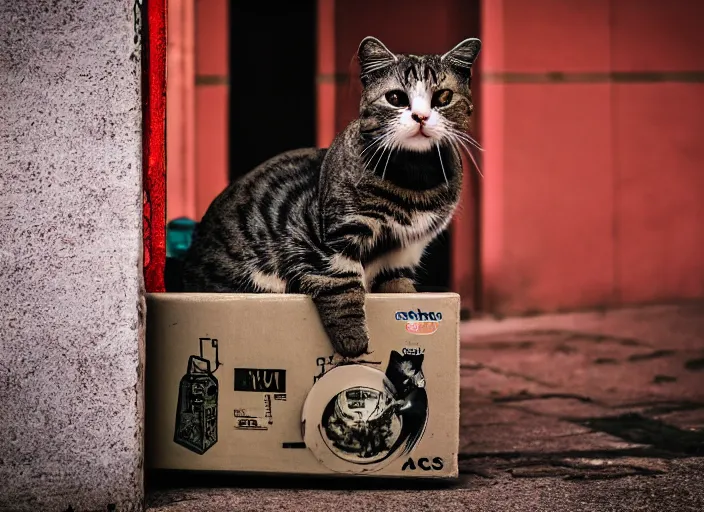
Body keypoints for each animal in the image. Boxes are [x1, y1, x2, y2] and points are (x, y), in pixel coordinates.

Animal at [182, 36, 482, 358]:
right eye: (396, 98)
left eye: (443, 96)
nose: (421, 116)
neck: (414, 179)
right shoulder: (320, 241)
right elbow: (340, 281)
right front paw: (353, 342)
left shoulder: (405, 251)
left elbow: (399, 287)